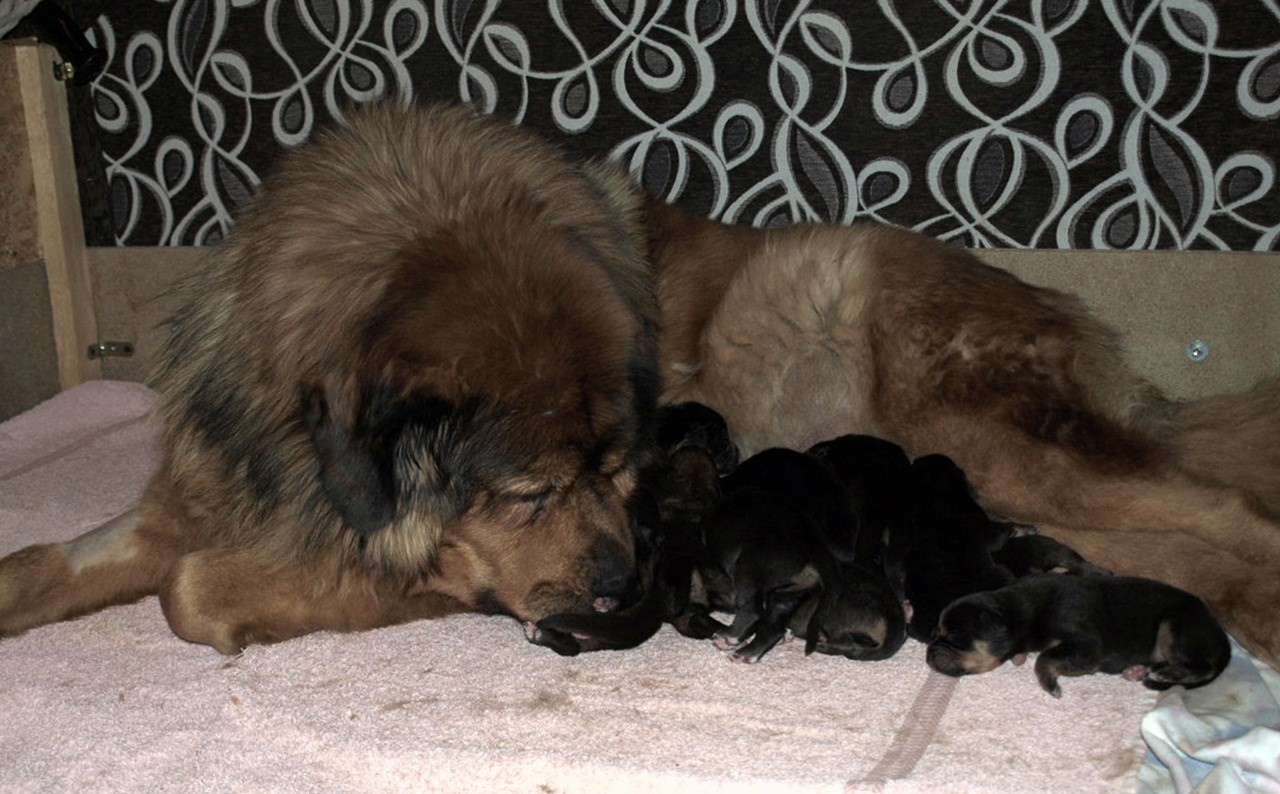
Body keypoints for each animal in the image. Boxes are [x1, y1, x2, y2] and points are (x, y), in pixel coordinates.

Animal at [0, 103, 659, 653]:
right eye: (532, 494)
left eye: (616, 469)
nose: (626, 584)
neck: (295, 456)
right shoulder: (198, 491)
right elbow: (44, 564)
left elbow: (185, 587)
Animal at [926, 574, 1232, 697]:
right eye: (936, 633)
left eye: (954, 637)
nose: (929, 653)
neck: (1022, 611)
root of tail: (1224, 639)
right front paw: (1020, 658)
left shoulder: (1086, 647)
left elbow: (1046, 657)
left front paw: (1050, 684)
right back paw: (1137, 670)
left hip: (1175, 627)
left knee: (1201, 667)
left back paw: (1165, 673)